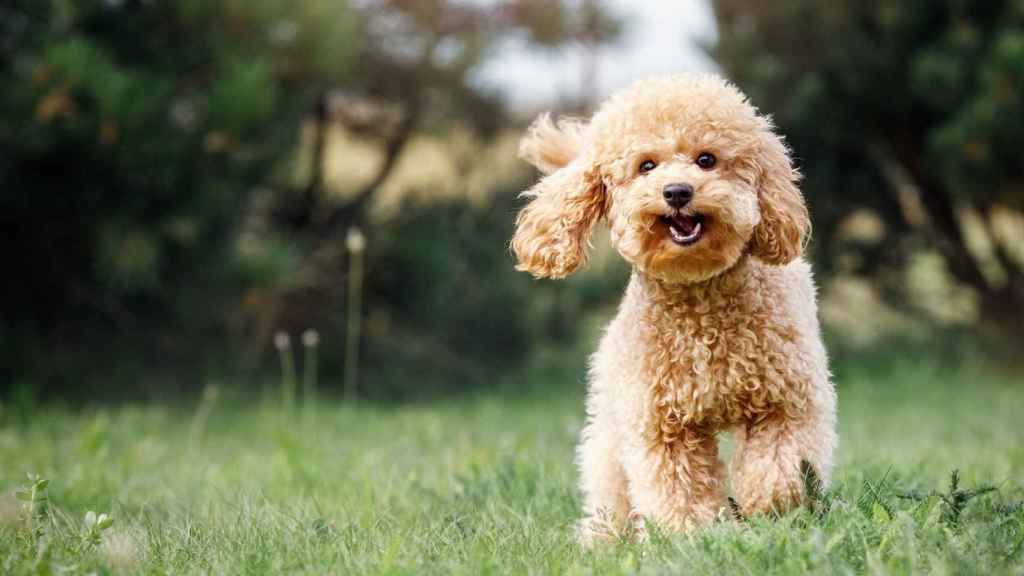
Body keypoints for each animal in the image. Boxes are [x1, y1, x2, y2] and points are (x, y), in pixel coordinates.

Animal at [512, 73, 839, 541]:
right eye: (646, 165)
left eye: (707, 159)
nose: (678, 191)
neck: (698, 297)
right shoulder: (661, 424)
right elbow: (676, 487)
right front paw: (691, 537)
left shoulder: (787, 400)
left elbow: (780, 465)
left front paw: (771, 508)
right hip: (611, 419)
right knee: (608, 483)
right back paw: (602, 539)